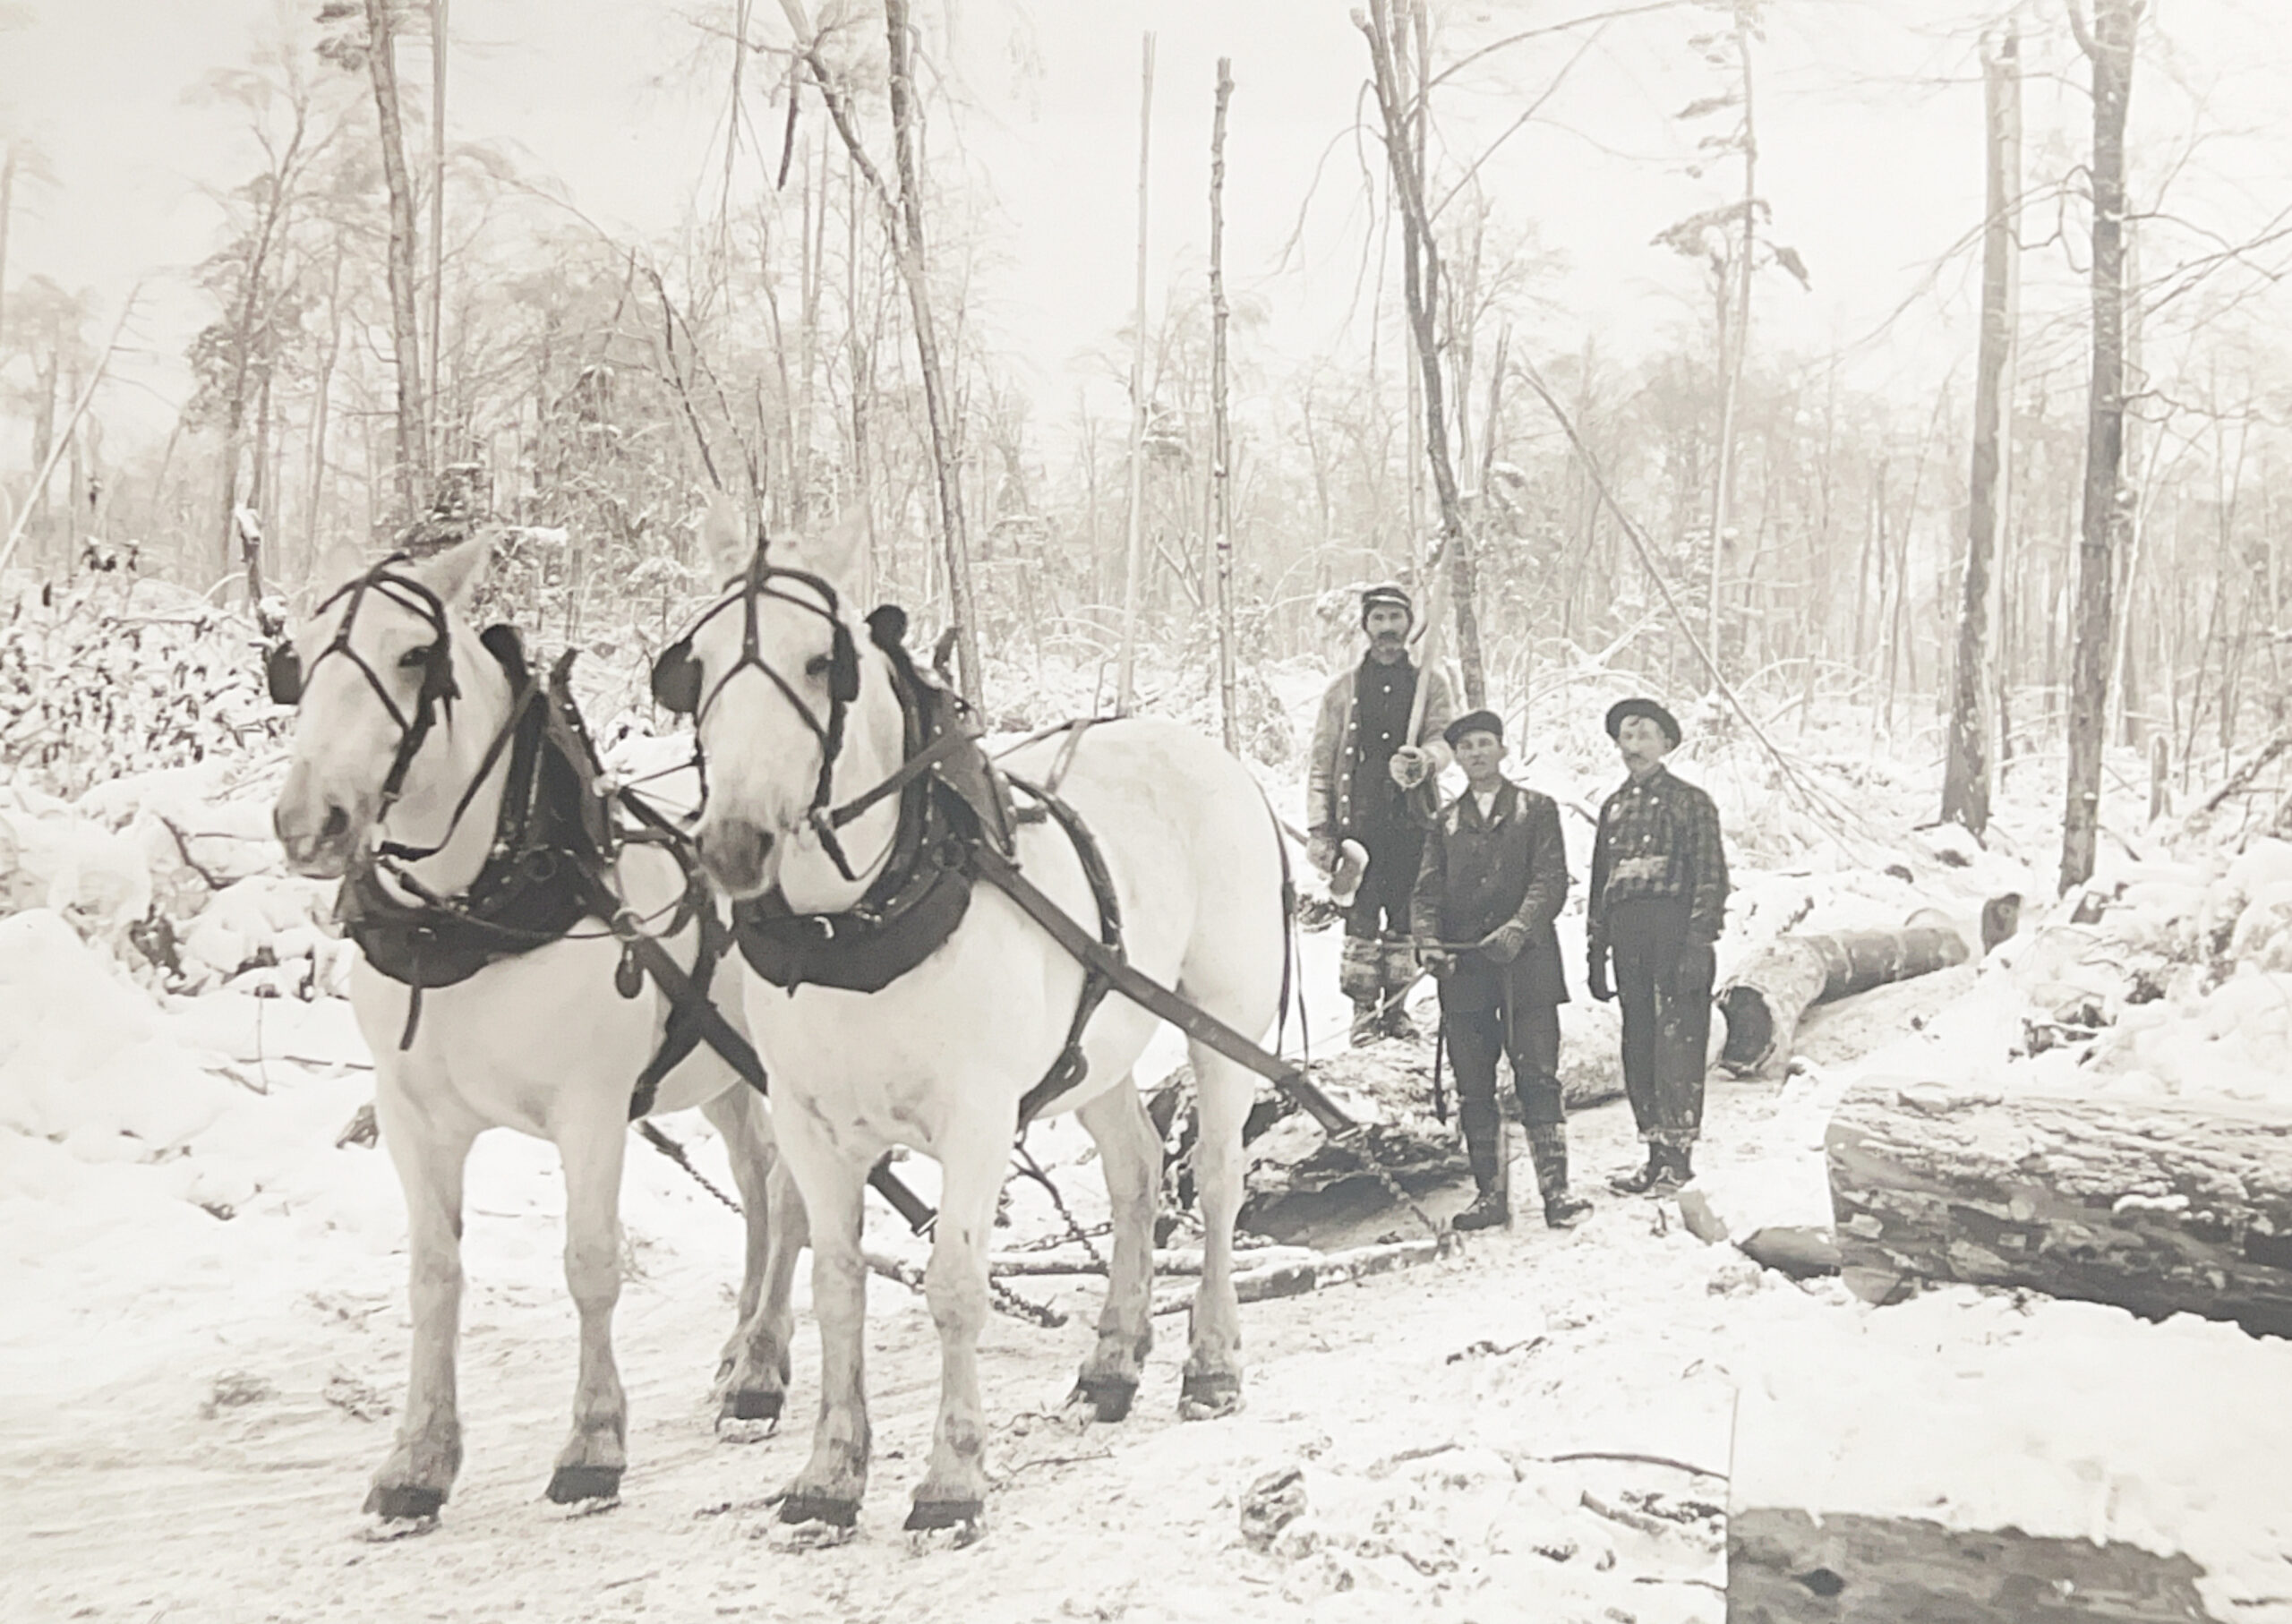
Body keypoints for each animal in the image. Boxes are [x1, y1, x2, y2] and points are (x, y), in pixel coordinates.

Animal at [271, 535, 807, 1520]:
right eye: (298, 657)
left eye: (415, 656)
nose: (308, 821)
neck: (469, 918)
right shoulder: (411, 1114)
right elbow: (434, 1276)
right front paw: (417, 1461)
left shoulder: (590, 1110)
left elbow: (590, 1262)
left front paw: (593, 1445)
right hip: (719, 1070)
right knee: (756, 1181)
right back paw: (739, 1349)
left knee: (789, 1195)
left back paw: (758, 1370)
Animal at [669, 510, 1292, 1530]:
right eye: (698, 664)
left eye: (821, 663)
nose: (731, 843)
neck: (852, 929)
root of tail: (1211, 753)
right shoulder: (808, 1126)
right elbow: (835, 1284)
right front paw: (828, 1476)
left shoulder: (977, 1118)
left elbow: (956, 1286)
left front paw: (950, 1479)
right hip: (1100, 1044)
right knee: (1134, 1173)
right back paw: (1112, 1359)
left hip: (1221, 1017)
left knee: (1214, 1179)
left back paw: (1210, 1362)